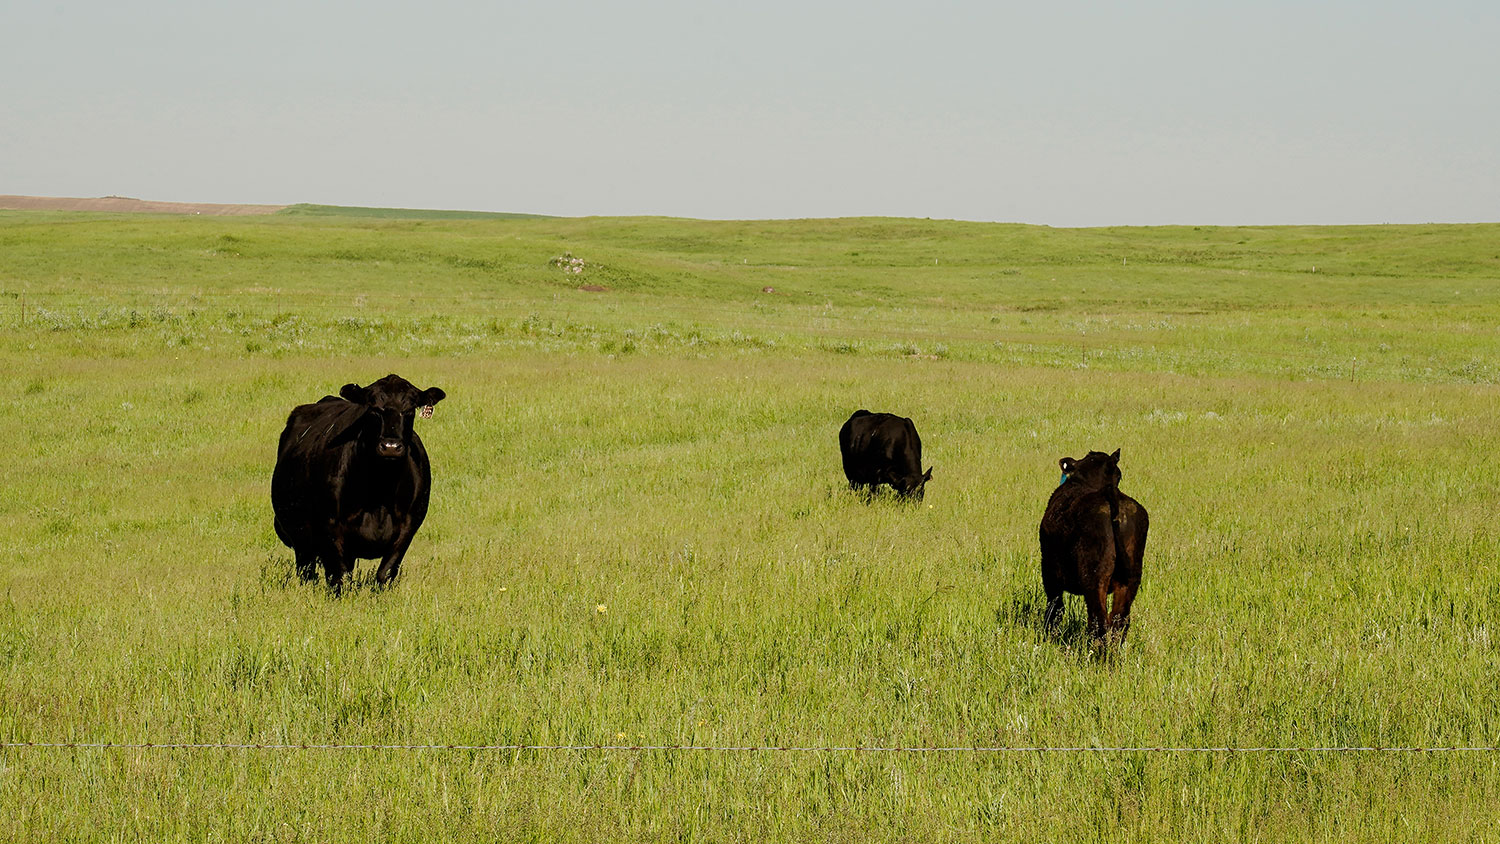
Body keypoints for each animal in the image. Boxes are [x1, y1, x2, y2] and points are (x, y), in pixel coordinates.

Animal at [271, 373, 444, 590]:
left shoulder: (407, 527)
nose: (390, 446)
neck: (380, 490)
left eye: (410, 410)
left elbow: (385, 573)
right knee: (307, 571)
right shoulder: (331, 527)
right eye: (374, 408)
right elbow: (340, 577)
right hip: (301, 535)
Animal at [1044, 452, 1146, 644]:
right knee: (1119, 621)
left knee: (1099, 621)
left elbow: (1054, 609)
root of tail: (1110, 493)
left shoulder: (1049, 573)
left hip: (1094, 578)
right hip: (1131, 579)